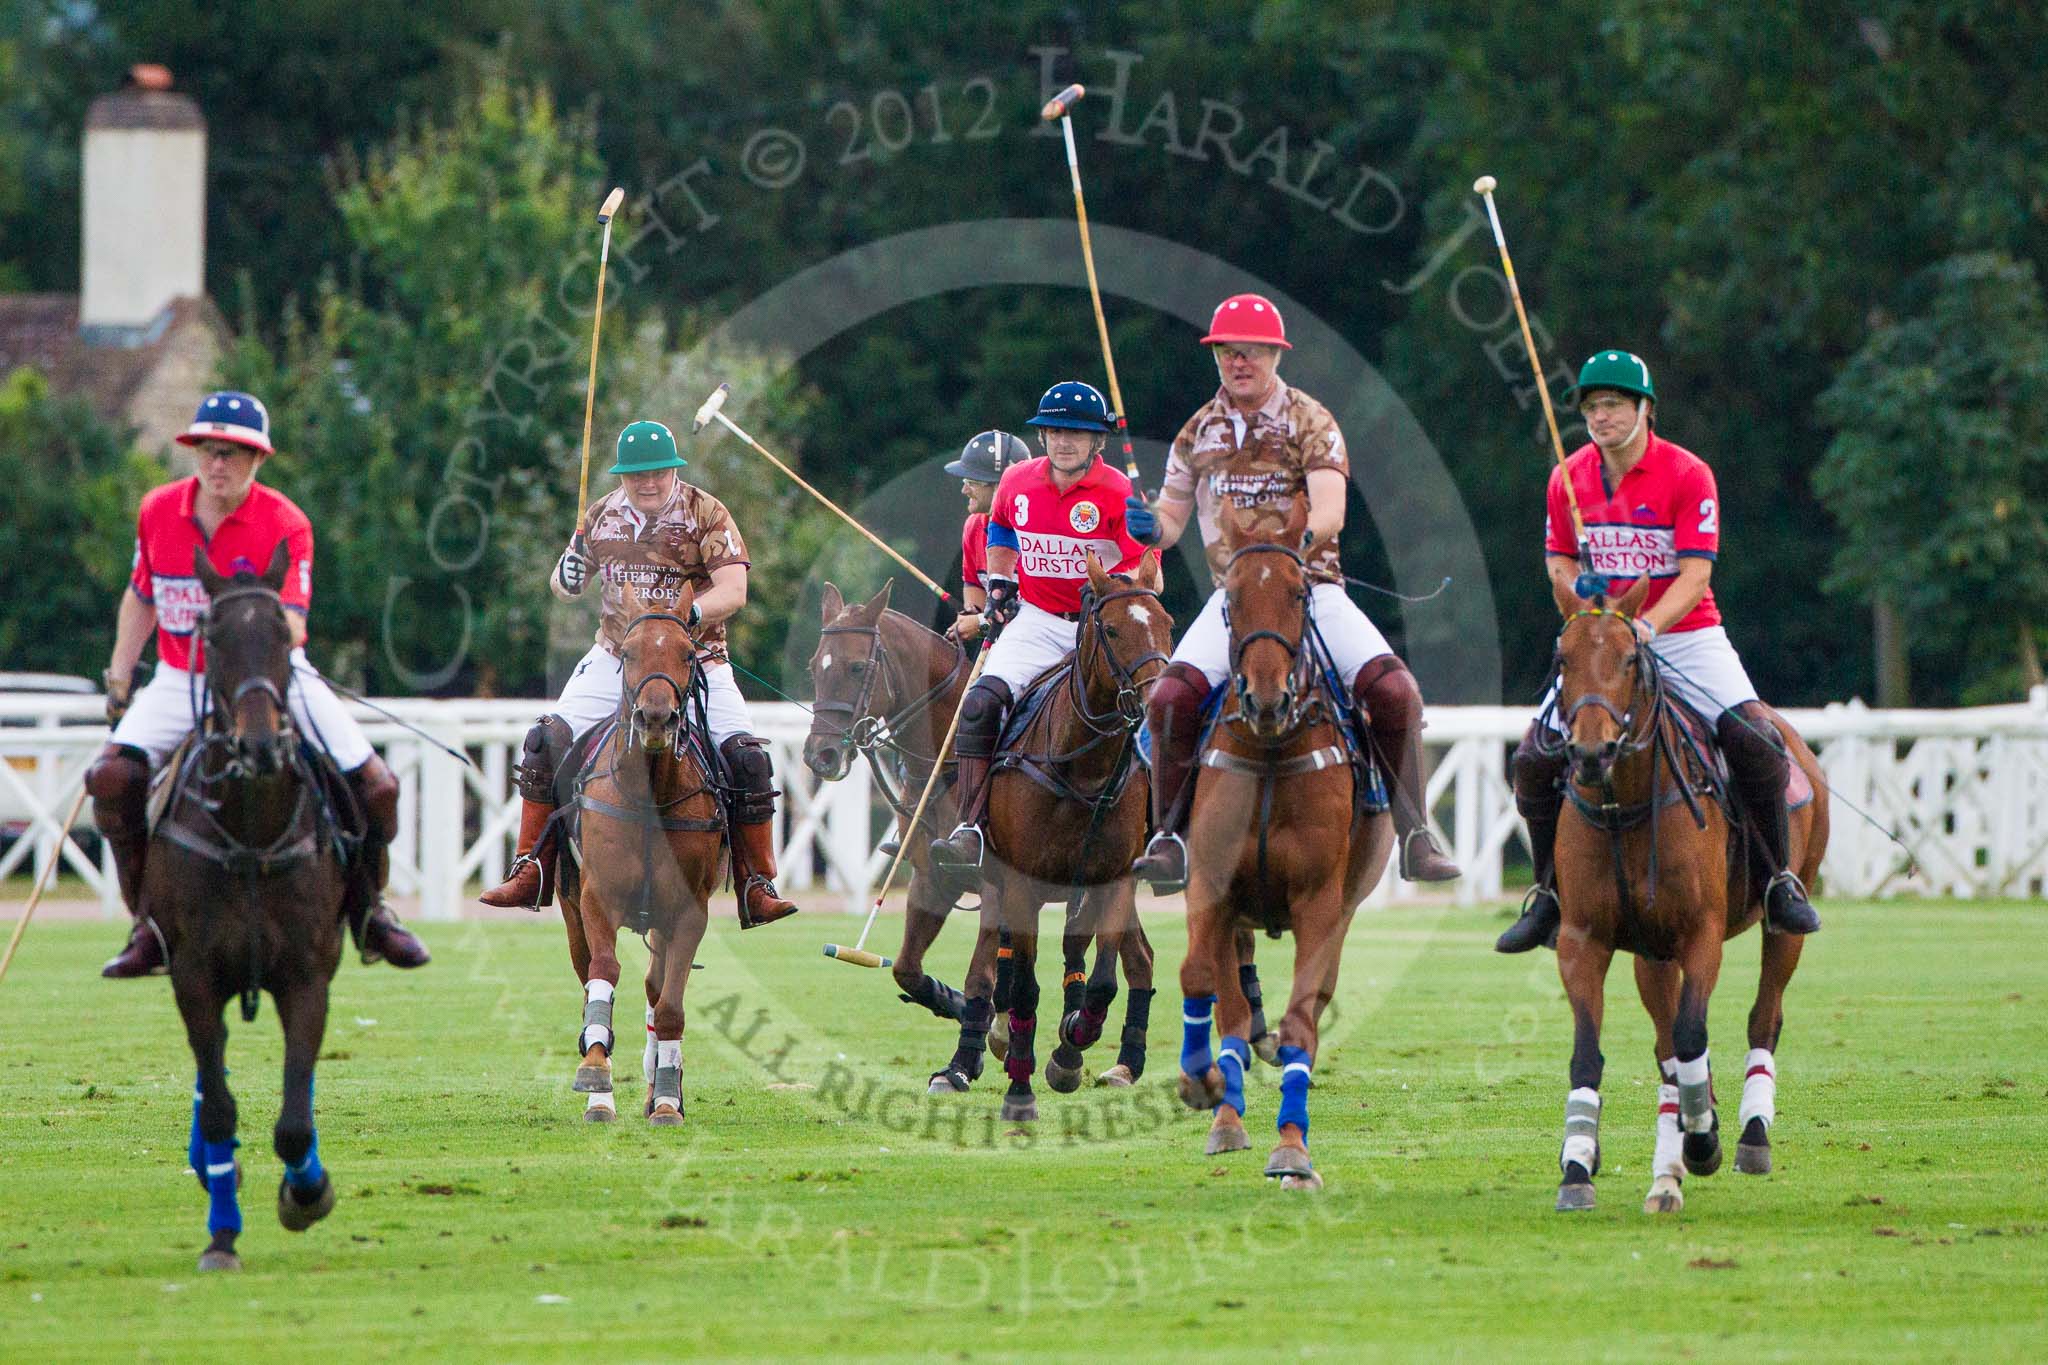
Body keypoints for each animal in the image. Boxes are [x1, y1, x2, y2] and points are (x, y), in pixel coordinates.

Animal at [155, 544, 352, 1268]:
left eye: (284, 639)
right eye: (211, 638)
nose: (262, 746)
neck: (251, 829)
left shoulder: (307, 974)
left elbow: (294, 1118)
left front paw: (307, 1193)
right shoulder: (193, 974)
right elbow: (218, 1105)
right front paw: (222, 1237)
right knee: (211, 1077)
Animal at [557, 593, 724, 1129]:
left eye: (688, 654)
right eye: (627, 653)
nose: (655, 719)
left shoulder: (689, 911)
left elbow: (670, 1006)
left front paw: (668, 1102)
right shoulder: (597, 897)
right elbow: (604, 972)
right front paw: (594, 1072)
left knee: (657, 988)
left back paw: (659, 1088)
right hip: (572, 907)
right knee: (589, 973)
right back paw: (602, 1098)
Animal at [978, 548, 1179, 1121]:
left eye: (1167, 624)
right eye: (1111, 630)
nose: (1159, 705)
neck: (1083, 768)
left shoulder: (1116, 876)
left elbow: (1104, 980)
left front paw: (1070, 1047)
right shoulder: (1020, 883)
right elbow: (1025, 986)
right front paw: (1019, 1092)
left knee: (1111, 955)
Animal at [1179, 499, 1400, 1186]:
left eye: (1301, 594)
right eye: (1230, 598)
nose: (1268, 696)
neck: (1272, 752)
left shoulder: (1319, 901)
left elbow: (1302, 1020)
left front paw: (1293, 1149)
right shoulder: (1212, 888)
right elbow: (1201, 980)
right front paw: (1206, 1093)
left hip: (1346, 906)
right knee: (1229, 1003)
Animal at [1540, 577, 1826, 1219]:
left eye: (1629, 659)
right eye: (1562, 659)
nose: (1591, 754)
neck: (1622, 806)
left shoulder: (1701, 933)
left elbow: (1696, 1034)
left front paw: (1703, 1141)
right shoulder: (1582, 940)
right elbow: (1589, 1052)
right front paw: (1578, 1164)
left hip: (1788, 915)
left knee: (1763, 1016)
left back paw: (1747, 1136)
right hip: (1652, 952)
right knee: (1666, 1046)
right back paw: (1668, 1166)